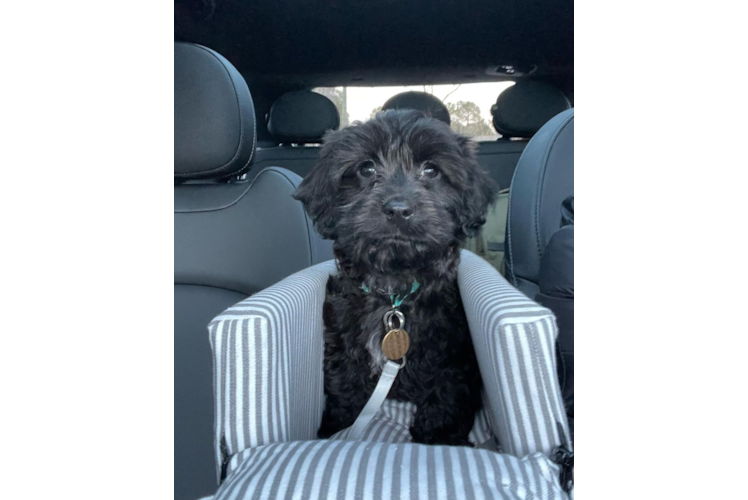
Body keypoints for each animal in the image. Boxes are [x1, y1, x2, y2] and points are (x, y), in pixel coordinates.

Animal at [296, 109, 500, 446]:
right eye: (366, 169)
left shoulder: (453, 356)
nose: (398, 209)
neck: (394, 287)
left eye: (431, 170)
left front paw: (438, 437)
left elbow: (445, 396)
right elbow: (345, 385)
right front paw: (337, 426)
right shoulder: (342, 339)